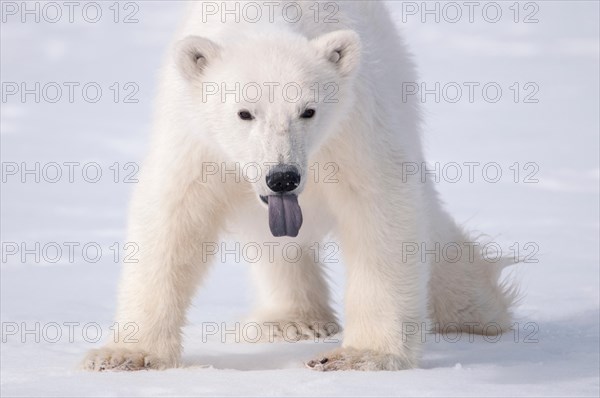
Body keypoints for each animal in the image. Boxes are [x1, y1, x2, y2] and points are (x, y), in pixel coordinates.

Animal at [82, 1, 516, 372]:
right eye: (244, 112)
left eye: (308, 110)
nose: (283, 176)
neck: (266, 20)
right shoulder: (196, 139)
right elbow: (172, 218)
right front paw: (123, 355)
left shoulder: (350, 128)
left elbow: (381, 209)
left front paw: (361, 355)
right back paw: (293, 321)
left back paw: (478, 313)